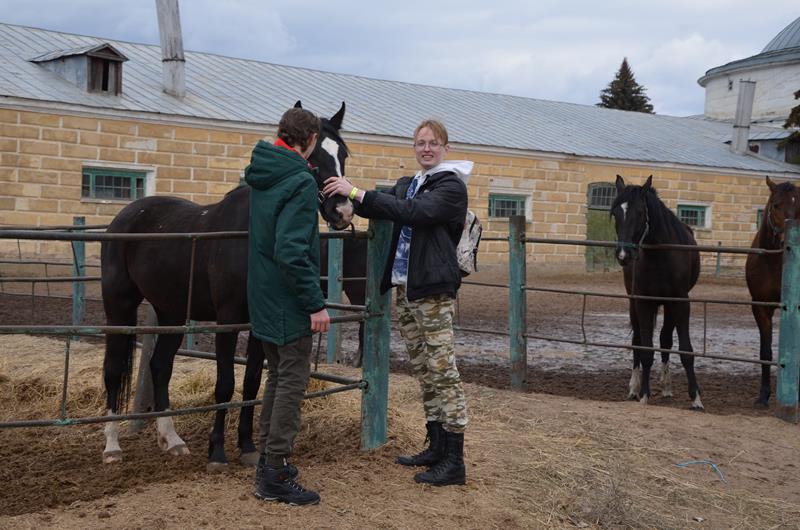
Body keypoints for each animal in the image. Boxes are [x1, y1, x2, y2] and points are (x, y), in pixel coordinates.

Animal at [101, 102, 362, 470]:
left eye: (342, 154)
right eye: (312, 159)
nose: (343, 210)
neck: (252, 231)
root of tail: (125, 217)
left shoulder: (259, 322)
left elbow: (251, 382)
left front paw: (248, 446)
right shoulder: (227, 319)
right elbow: (225, 384)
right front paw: (218, 452)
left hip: (171, 311)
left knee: (160, 367)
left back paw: (172, 439)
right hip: (119, 307)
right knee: (113, 369)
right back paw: (112, 446)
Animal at [611, 175, 703, 410]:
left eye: (640, 212)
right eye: (615, 213)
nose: (623, 254)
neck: (661, 256)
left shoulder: (680, 302)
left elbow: (685, 350)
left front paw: (696, 398)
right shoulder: (643, 302)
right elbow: (645, 350)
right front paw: (644, 393)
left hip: (669, 306)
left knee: (665, 340)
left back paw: (667, 387)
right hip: (633, 303)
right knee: (638, 341)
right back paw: (634, 388)